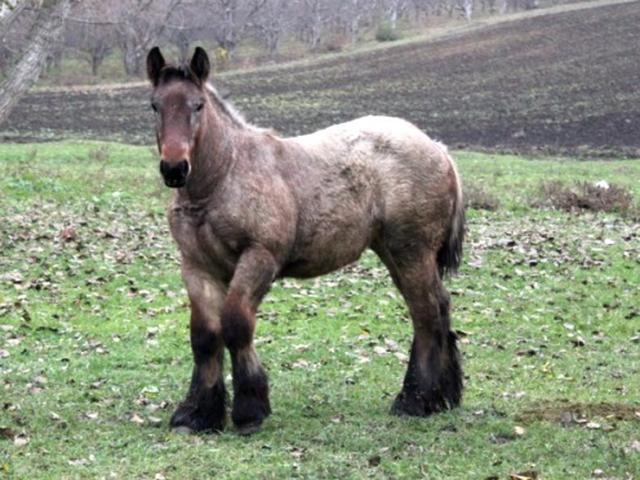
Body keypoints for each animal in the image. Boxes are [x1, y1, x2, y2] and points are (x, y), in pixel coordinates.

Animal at [146, 46, 465, 435]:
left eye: (198, 105)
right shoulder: (197, 266)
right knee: (437, 307)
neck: (223, 177)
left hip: (412, 252)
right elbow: (204, 336)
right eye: (155, 105)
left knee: (426, 312)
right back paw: (443, 397)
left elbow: (236, 324)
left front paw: (250, 410)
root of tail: (438, 148)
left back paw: (416, 400)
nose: (174, 168)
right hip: (396, 254)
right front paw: (198, 414)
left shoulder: (259, 258)